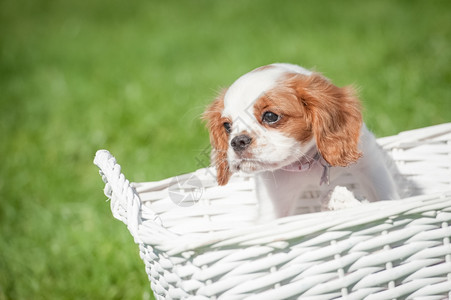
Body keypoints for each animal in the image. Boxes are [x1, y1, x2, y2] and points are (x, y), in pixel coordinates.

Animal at [203, 62, 400, 220]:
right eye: (227, 126)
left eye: (270, 116)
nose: (237, 141)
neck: (309, 161)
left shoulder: (371, 164)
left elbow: (385, 193)